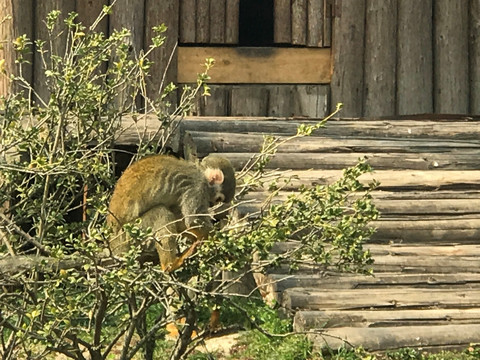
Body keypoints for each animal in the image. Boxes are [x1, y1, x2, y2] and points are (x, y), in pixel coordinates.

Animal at [108, 153, 237, 272]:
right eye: (218, 199)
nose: (212, 205)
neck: (199, 170)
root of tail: (112, 243)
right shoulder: (197, 185)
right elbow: (193, 220)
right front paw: (220, 242)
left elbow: (181, 218)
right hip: (128, 237)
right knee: (161, 212)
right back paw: (170, 265)